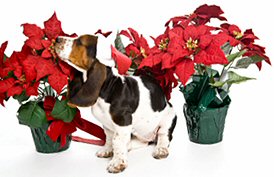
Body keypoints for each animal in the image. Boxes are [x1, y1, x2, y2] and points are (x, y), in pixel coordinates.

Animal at [54, 34, 178, 173]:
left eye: (80, 41)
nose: (57, 39)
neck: (108, 88)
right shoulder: (107, 125)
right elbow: (109, 138)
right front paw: (107, 150)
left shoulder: (123, 121)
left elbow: (117, 141)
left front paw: (117, 163)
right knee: (142, 141)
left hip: (168, 119)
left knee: (164, 137)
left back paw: (161, 150)